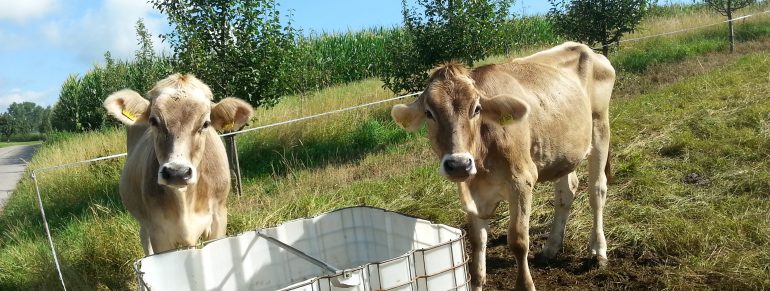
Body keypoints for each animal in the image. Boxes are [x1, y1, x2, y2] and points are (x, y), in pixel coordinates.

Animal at [101, 73, 252, 256]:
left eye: (206, 123)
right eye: (153, 121)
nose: (177, 173)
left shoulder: (218, 219)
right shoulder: (158, 232)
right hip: (144, 222)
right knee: (144, 238)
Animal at [390, 42, 612, 290]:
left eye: (476, 108)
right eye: (429, 113)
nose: (458, 164)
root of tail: (584, 47)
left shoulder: (522, 181)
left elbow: (518, 240)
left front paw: (526, 285)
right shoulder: (473, 194)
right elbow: (477, 242)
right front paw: (477, 281)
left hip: (600, 126)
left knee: (597, 190)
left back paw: (598, 251)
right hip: (563, 151)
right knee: (567, 192)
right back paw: (550, 248)